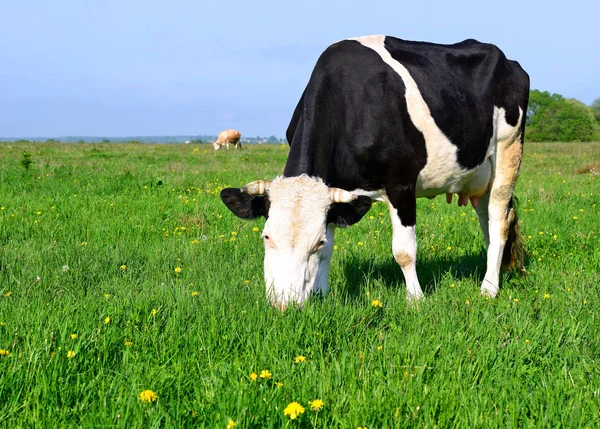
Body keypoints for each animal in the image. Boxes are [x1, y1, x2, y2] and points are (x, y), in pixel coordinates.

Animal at [221, 34, 528, 308]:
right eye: (266, 237)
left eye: (315, 243)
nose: (285, 305)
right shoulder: (335, 191)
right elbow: (332, 251)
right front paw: (321, 294)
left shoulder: (401, 185)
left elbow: (404, 252)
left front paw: (415, 301)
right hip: (479, 177)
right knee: (488, 223)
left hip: (508, 152)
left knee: (499, 222)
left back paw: (488, 289)